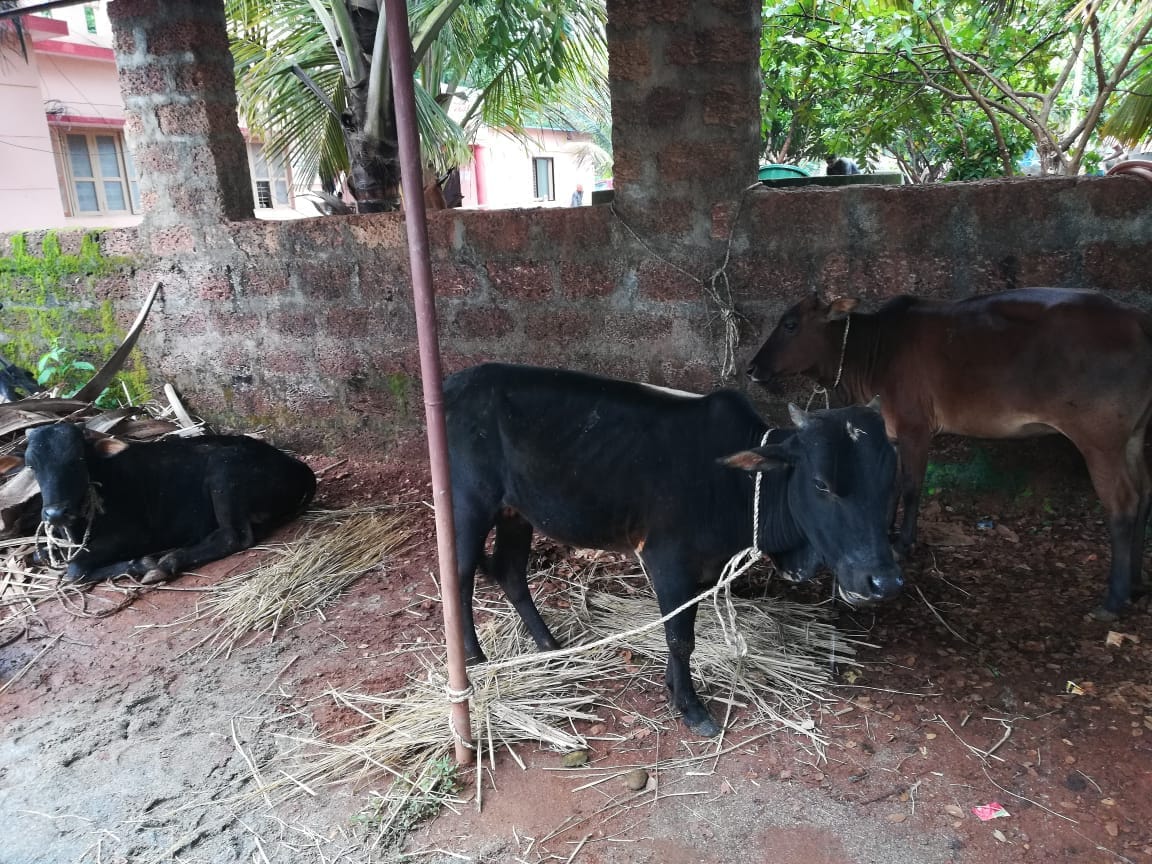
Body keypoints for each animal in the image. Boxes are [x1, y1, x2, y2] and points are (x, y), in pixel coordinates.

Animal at [21, 423, 316, 584]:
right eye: (32, 465)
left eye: (78, 460)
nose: (55, 513)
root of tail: (297, 465)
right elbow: (40, 554)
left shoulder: (137, 533)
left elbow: (76, 568)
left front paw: (143, 564)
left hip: (224, 470)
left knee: (234, 536)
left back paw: (170, 560)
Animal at [445, 363, 903, 737]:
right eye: (822, 484)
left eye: (889, 485)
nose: (883, 581)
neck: (737, 483)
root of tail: (458, 381)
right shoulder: (668, 563)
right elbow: (680, 638)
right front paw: (691, 707)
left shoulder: (703, 568)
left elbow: (683, 630)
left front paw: (673, 686)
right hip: (468, 504)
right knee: (461, 578)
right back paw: (475, 658)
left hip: (516, 512)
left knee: (510, 572)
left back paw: (549, 646)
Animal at [746, 289, 1152, 619]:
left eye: (790, 324)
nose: (752, 368)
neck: (876, 351)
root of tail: (1137, 318)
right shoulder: (891, 434)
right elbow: (890, 487)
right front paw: (885, 532)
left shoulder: (915, 427)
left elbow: (911, 486)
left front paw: (903, 542)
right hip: (1133, 436)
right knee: (1144, 494)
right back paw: (1135, 584)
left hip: (1100, 439)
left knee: (1123, 503)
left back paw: (1114, 598)